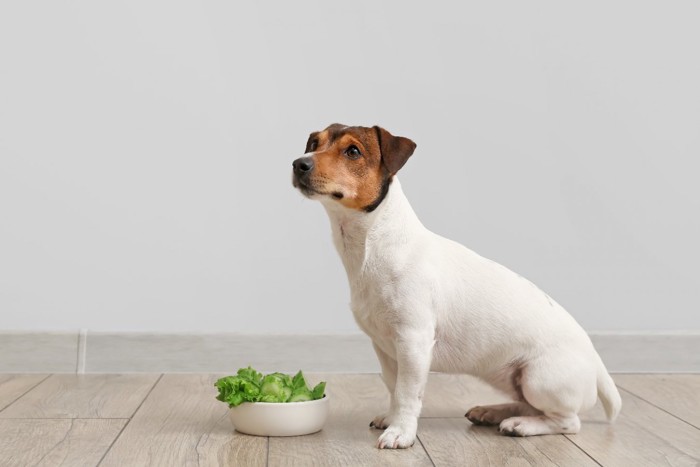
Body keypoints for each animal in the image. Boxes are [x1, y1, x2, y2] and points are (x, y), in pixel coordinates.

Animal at [292, 123, 620, 450]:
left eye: (353, 151)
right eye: (314, 143)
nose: (299, 163)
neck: (373, 245)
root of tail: (596, 360)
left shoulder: (413, 341)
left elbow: (407, 393)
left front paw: (402, 433)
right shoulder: (385, 347)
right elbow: (393, 387)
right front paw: (393, 419)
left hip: (539, 378)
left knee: (567, 421)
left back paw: (521, 425)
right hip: (510, 379)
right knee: (529, 405)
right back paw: (493, 411)